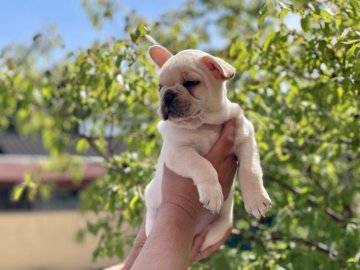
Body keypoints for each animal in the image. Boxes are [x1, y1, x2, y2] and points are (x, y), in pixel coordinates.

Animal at [145, 45, 272, 250]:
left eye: (190, 83)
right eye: (159, 87)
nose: (167, 94)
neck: (203, 123)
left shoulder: (245, 137)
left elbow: (250, 169)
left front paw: (256, 198)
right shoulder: (179, 152)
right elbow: (203, 166)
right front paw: (213, 193)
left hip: (220, 228)